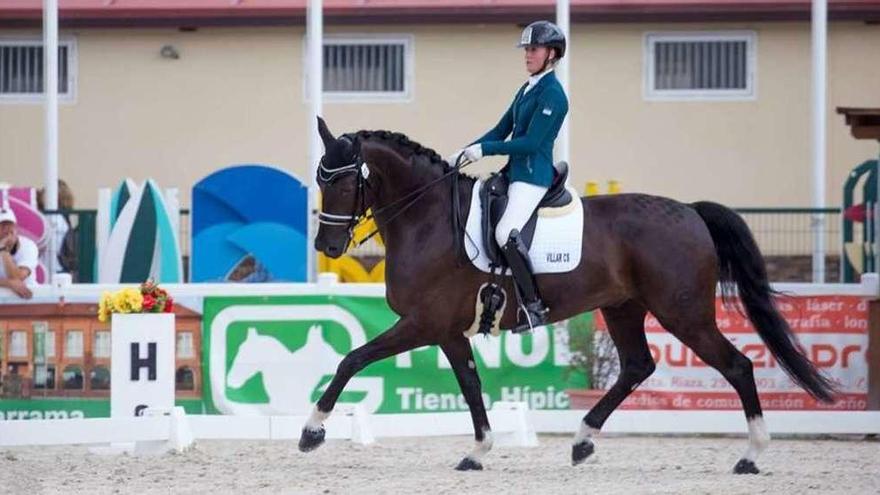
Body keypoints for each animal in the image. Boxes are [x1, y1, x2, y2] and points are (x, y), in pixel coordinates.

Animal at [300, 118, 836, 474]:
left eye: (343, 181)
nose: (327, 247)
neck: (428, 218)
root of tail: (689, 210)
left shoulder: (421, 323)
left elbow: (352, 359)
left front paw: (312, 431)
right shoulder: (448, 331)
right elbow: (470, 384)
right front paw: (478, 451)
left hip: (684, 314)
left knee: (737, 366)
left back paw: (751, 454)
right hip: (622, 309)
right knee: (638, 366)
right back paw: (582, 441)